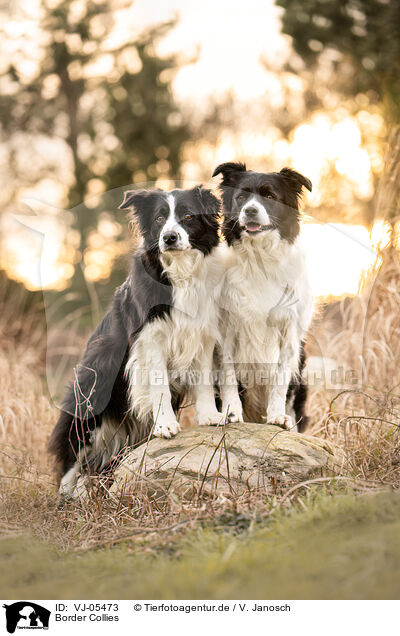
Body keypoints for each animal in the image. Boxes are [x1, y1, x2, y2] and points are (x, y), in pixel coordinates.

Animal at [48, 186, 223, 500]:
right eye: (159, 218)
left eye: (188, 216)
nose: (169, 237)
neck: (179, 272)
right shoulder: (150, 339)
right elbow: (160, 386)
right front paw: (166, 425)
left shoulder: (201, 334)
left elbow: (203, 380)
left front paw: (210, 416)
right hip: (92, 395)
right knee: (74, 454)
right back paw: (69, 495)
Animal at [214, 163, 314, 432]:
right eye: (241, 197)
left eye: (270, 196)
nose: (250, 210)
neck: (259, 258)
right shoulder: (226, 329)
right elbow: (228, 375)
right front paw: (230, 412)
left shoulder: (289, 332)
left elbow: (280, 378)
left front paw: (277, 415)